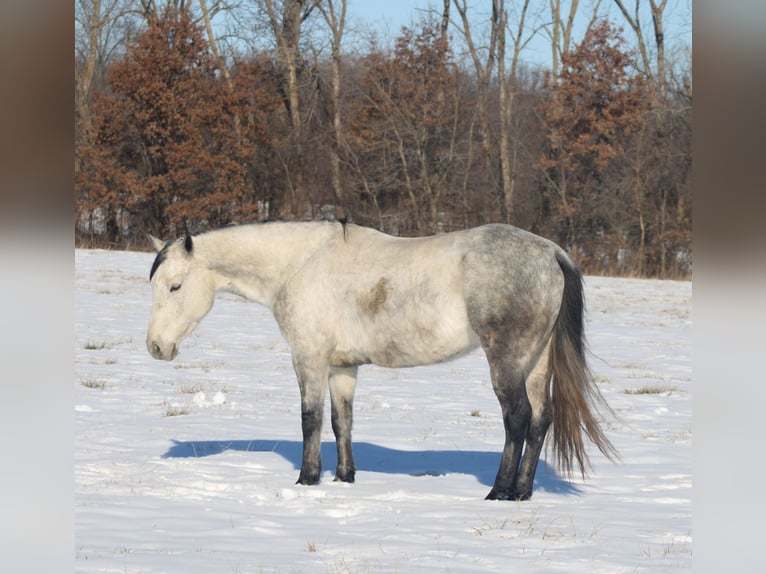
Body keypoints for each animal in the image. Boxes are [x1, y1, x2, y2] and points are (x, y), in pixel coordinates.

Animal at [147, 223, 616, 502]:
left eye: (175, 286)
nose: (155, 347)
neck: (300, 264)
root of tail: (551, 252)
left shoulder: (309, 359)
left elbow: (310, 420)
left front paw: (307, 479)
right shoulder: (343, 366)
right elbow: (342, 422)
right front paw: (344, 477)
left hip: (507, 360)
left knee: (517, 419)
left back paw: (500, 492)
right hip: (535, 362)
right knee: (540, 420)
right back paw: (521, 492)